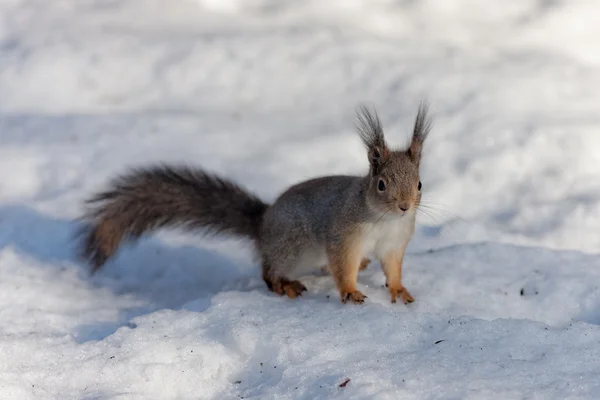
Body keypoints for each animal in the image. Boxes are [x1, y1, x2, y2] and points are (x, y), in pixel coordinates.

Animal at [78, 102, 432, 304]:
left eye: (419, 183)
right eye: (381, 185)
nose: (404, 206)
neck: (383, 220)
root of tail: (262, 224)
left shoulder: (394, 242)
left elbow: (393, 267)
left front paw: (398, 289)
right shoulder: (344, 236)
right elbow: (343, 267)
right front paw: (349, 291)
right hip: (290, 250)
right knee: (268, 272)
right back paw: (285, 286)